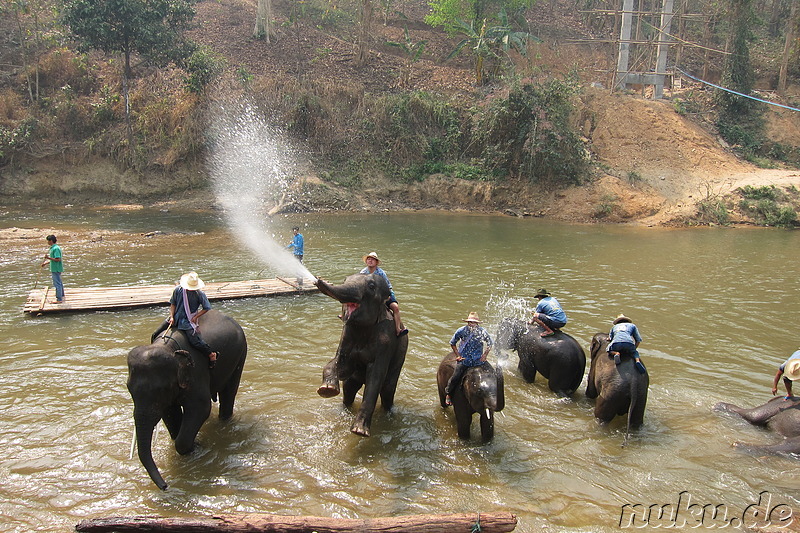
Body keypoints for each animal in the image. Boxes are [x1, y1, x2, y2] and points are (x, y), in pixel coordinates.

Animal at [126, 308, 247, 490]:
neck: (167, 348)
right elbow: (170, 412)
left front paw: (197, 446)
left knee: (229, 393)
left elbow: (201, 408)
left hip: (240, 354)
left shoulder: (196, 371)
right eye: (128, 388)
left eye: (160, 390)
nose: (165, 486)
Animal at [316, 274, 410, 436]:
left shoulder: (386, 342)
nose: (318, 279)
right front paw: (327, 389)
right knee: (349, 388)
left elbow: (376, 376)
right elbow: (342, 365)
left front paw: (359, 431)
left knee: (387, 390)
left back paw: (388, 415)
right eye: (345, 280)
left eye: (371, 286)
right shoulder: (346, 333)